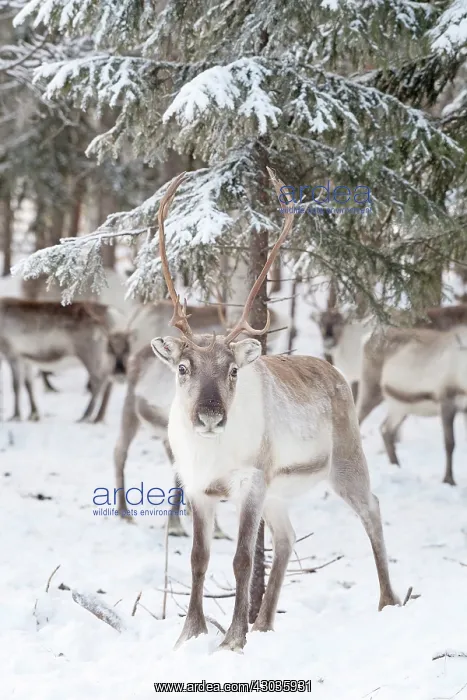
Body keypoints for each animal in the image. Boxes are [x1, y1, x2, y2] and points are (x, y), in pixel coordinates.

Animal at [0, 298, 131, 422]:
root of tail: (115, 315)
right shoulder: (26, 359)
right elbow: (28, 385)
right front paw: (34, 414)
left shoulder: (12, 354)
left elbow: (16, 386)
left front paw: (16, 416)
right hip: (112, 356)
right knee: (109, 382)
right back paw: (98, 418)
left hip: (91, 354)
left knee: (98, 381)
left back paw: (85, 416)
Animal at [148, 170, 399, 652]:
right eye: (184, 368)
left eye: (232, 371)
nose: (210, 416)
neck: (211, 456)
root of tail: (333, 369)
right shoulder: (196, 486)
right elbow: (198, 558)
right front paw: (190, 634)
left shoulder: (251, 481)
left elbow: (242, 559)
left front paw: (232, 639)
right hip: (280, 490)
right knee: (286, 539)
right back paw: (265, 623)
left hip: (344, 461)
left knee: (374, 510)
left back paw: (389, 600)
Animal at [357, 322, 467, 486]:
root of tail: (366, 339)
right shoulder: (446, 401)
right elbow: (450, 443)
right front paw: (449, 480)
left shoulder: (465, 409)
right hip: (371, 389)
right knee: (358, 419)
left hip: (401, 407)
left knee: (386, 430)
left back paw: (396, 465)